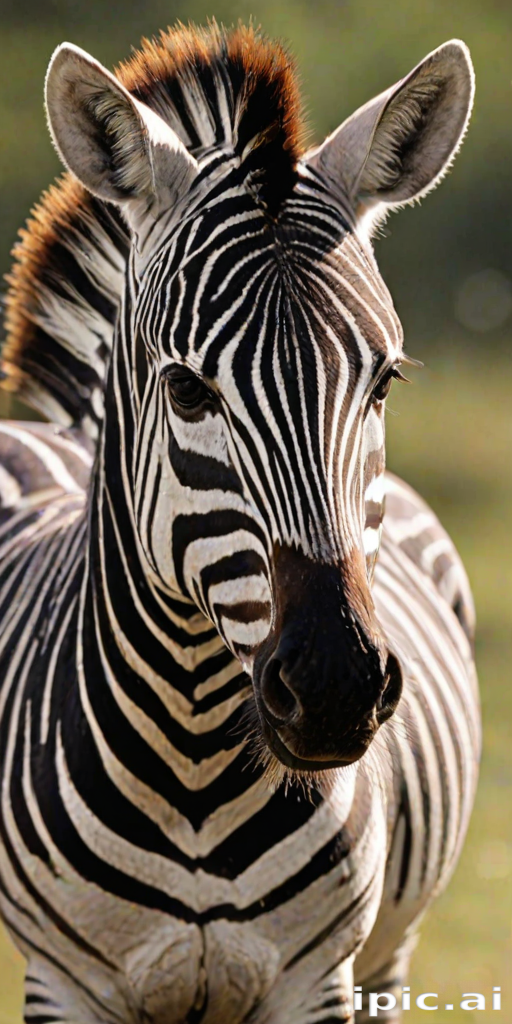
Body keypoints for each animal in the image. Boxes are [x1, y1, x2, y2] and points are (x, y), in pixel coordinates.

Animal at [0, 22, 480, 1024]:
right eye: (186, 388)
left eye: (385, 381)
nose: (337, 686)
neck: (190, 767)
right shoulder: (63, 982)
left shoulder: (319, 978)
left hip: (392, 956)